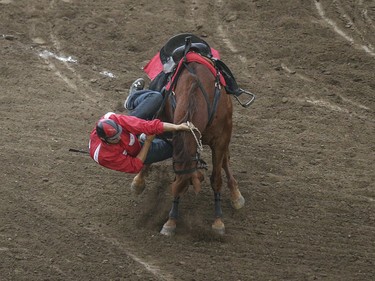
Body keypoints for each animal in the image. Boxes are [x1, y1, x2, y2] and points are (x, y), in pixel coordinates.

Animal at [131, 57, 245, 234]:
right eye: (175, 187)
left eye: (185, 188)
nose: (171, 220)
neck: (196, 92)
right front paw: (170, 223)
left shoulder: (220, 141)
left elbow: (216, 178)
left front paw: (218, 221)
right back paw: (138, 181)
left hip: (226, 132)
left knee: (225, 160)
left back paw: (235, 194)